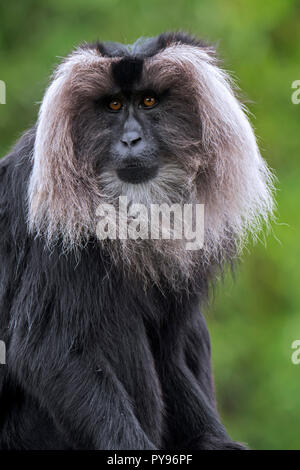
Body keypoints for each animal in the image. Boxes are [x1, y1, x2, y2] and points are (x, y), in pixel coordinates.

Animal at [0, 31, 274, 450]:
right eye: (114, 105)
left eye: (148, 101)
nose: (131, 139)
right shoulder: (50, 215)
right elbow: (52, 352)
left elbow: (170, 353)